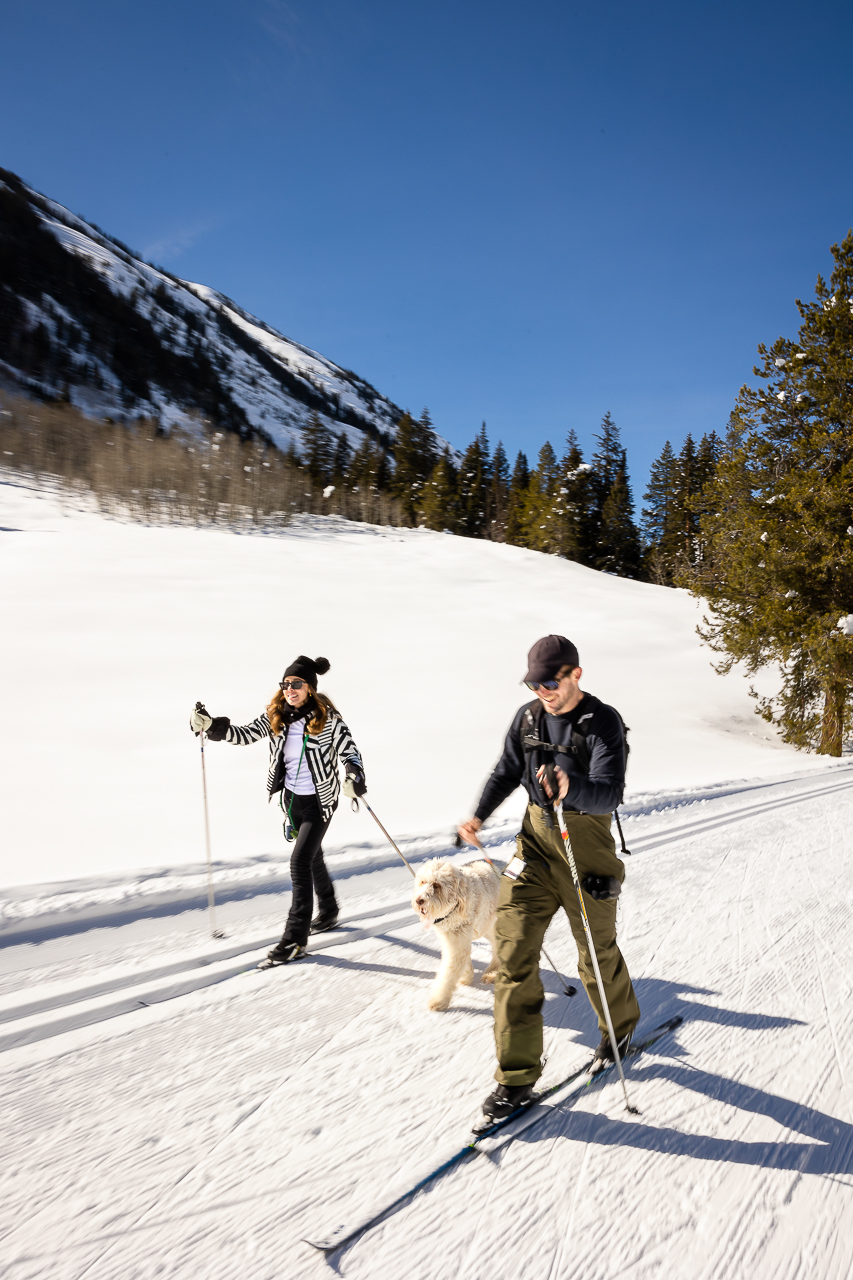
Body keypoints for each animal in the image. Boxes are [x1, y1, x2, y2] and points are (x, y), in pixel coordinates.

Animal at [409, 860, 499, 1008]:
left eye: (437, 885)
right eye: (423, 882)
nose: (419, 900)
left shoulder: (458, 943)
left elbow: (448, 974)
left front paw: (439, 1000)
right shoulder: (453, 939)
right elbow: (463, 962)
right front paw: (466, 977)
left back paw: (493, 973)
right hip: (488, 927)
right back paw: (492, 971)